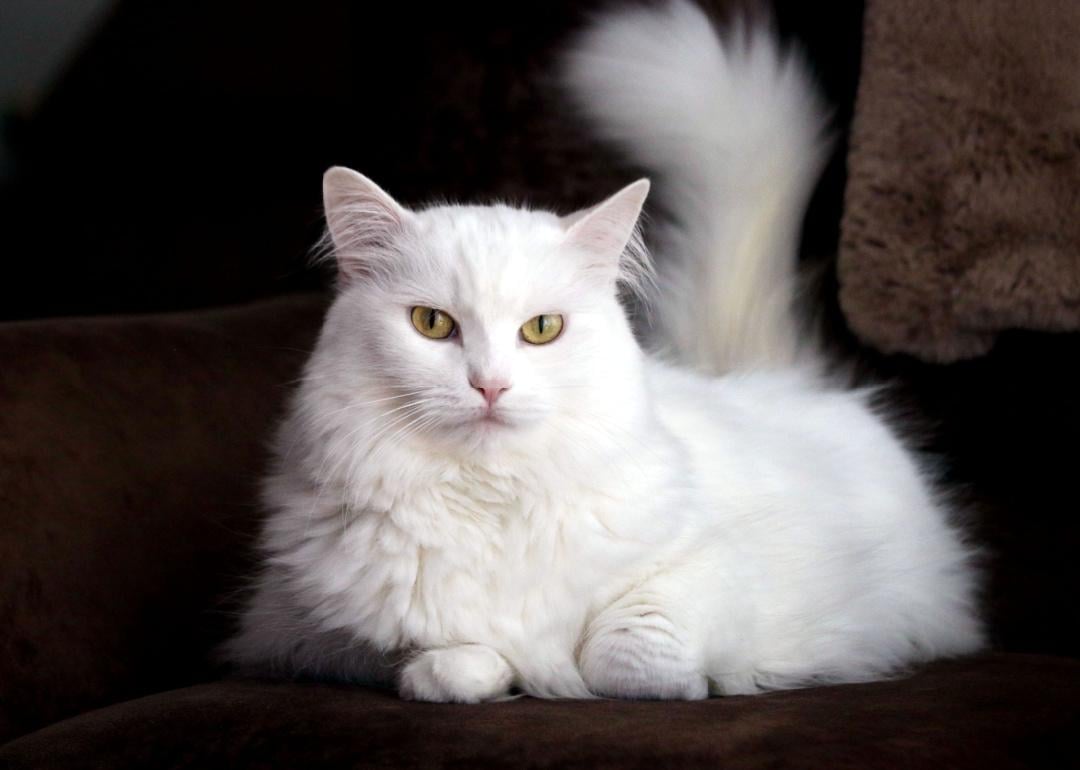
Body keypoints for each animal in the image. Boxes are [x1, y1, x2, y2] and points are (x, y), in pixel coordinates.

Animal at [223, 0, 984, 704]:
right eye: (433, 324)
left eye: (541, 330)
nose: (489, 385)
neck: (491, 502)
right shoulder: (294, 630)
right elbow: (442, 656)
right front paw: (477, 673)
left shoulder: (719, 569)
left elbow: (625, 653)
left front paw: (697, 684)